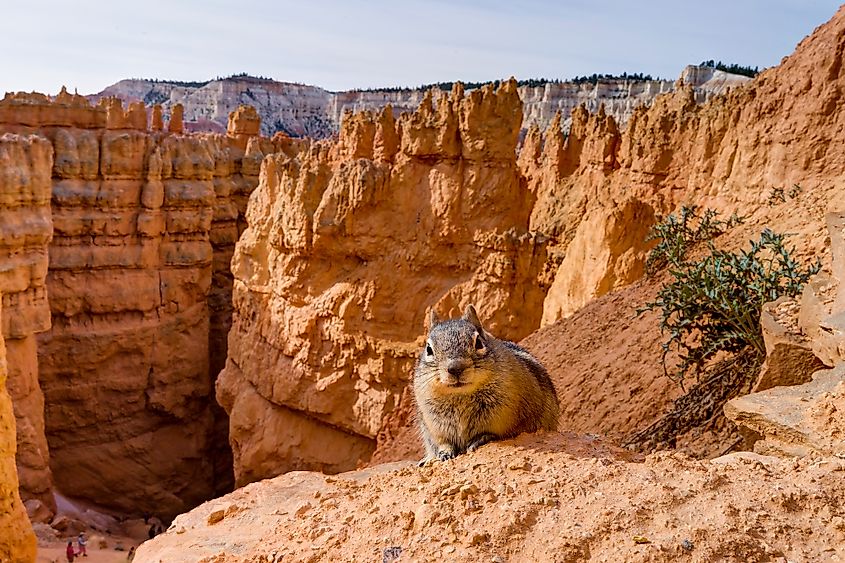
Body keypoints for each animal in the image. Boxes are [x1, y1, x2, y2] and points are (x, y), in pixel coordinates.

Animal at [412, 304, 556, 462]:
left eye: (479, 343)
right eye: (429, 349)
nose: (455, 368)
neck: (461, 396)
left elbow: (503, 431)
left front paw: (481, 438)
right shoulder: (433, 424)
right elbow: (443, 442)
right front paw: (444, 452)